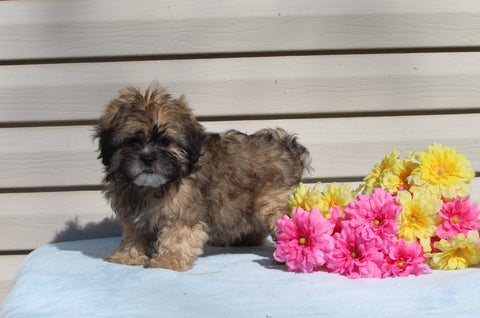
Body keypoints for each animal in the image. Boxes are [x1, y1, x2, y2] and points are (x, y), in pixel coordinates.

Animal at [95, 82, 310, 270]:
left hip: (272, 204)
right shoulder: (133, 214)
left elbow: (176, 237)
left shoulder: (182, 212)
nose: (147, 157)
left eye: (165, 141)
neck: (151, 187)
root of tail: (288, 146)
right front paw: (127, 256)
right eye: (132, 143)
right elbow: (134, 234)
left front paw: (168, 261)